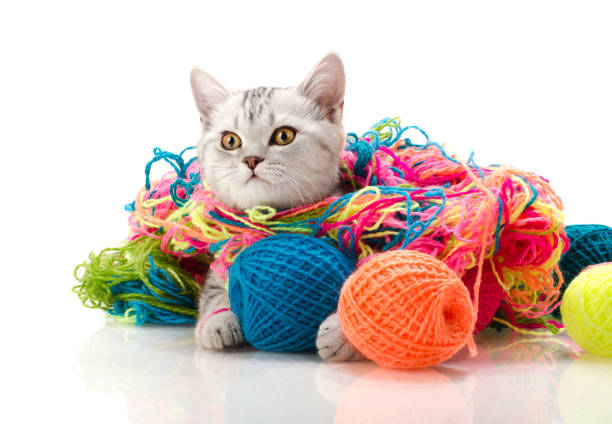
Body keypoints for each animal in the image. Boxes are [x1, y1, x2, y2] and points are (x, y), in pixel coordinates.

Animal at [191, 53, 364, 362]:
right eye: (230, 140)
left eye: (284, 136)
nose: (251, 159)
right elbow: (213, 291)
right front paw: (217, 320)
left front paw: (344, 331)